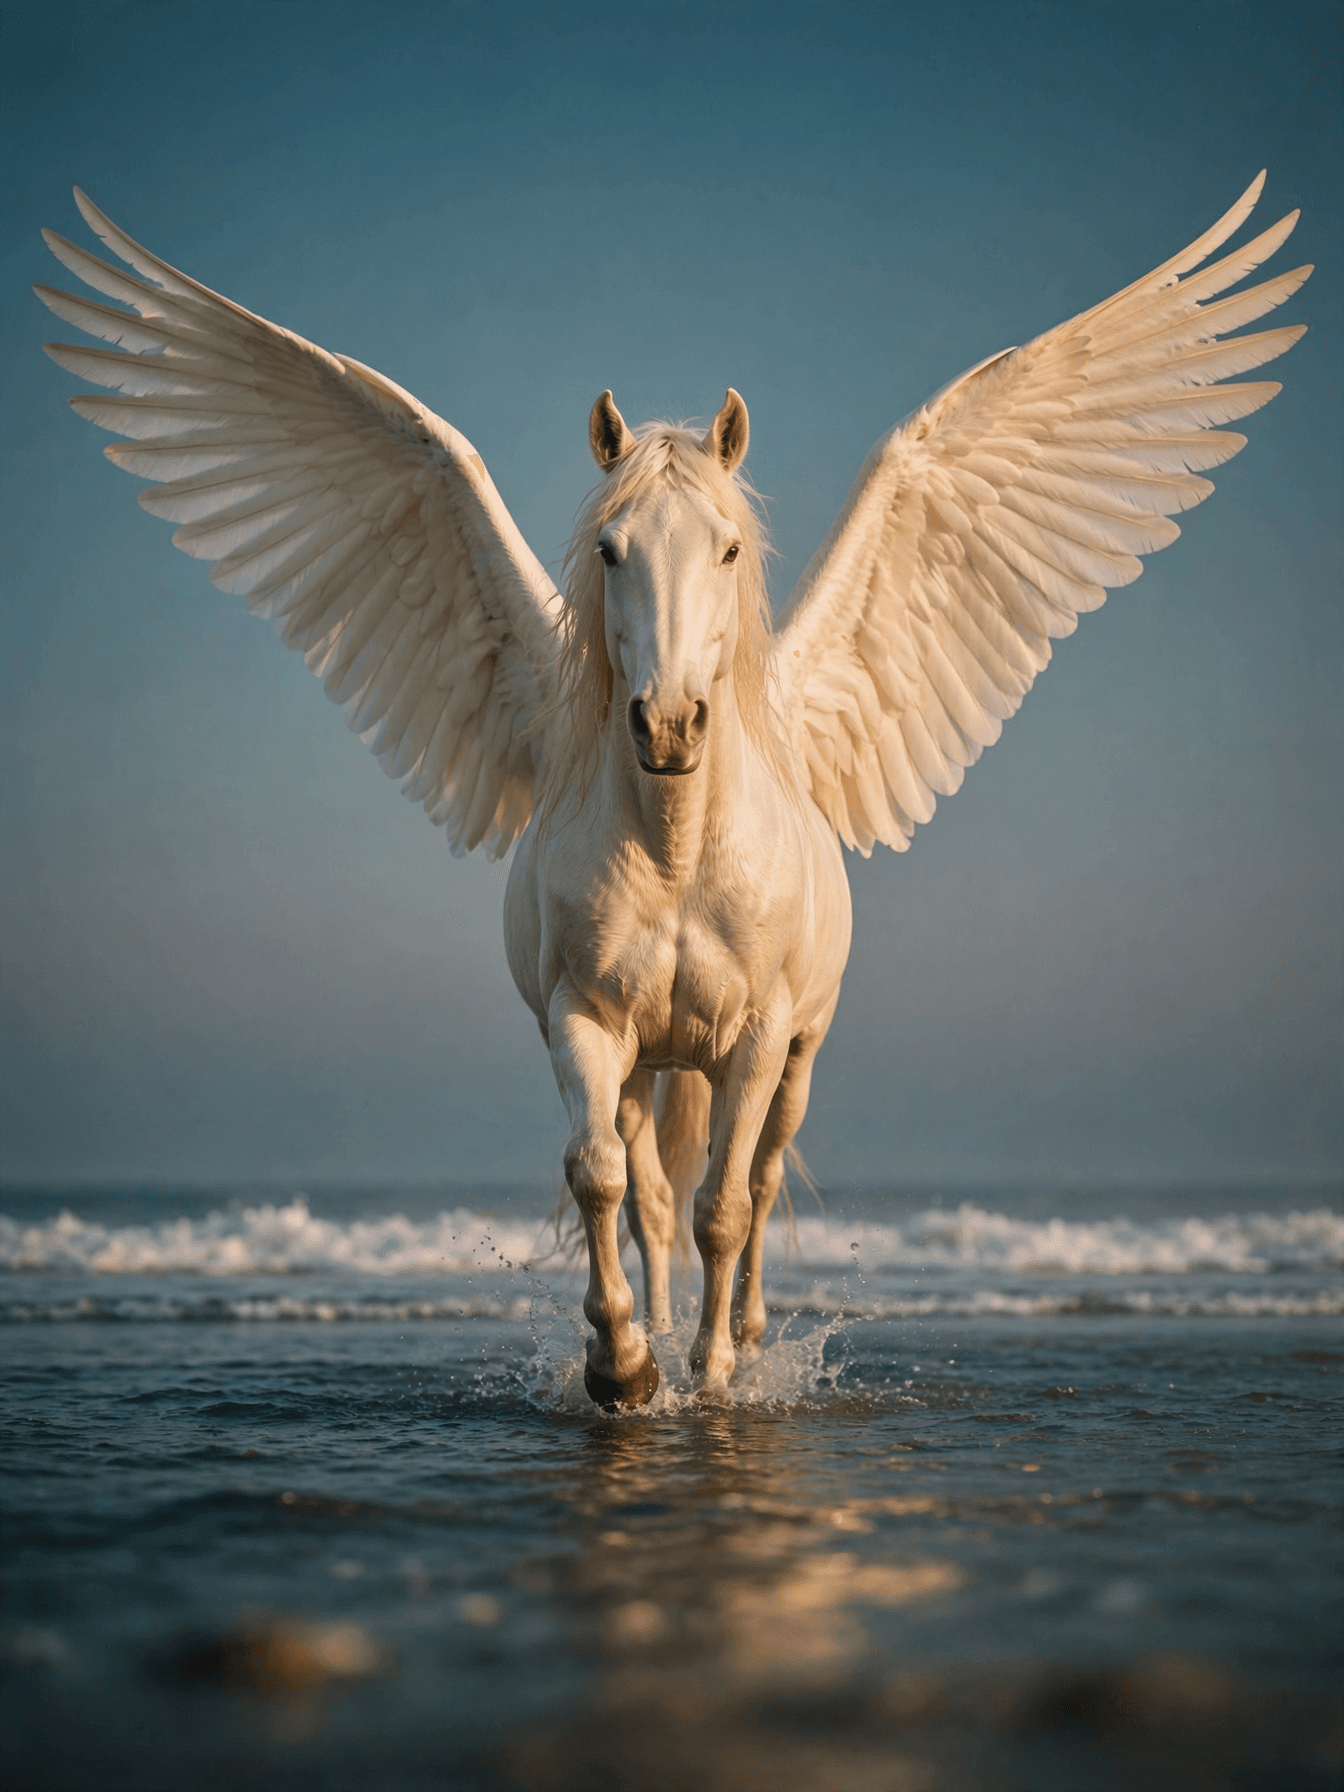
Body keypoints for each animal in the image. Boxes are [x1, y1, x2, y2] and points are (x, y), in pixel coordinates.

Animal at [38, 175, 1308, 1404]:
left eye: (731, 550)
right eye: (610, 552)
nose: (668, 725)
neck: (680, 845)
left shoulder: (758, 1036)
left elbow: (729, 1205)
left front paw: (714, 1370)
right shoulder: (586, 1022)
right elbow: (608, 1182)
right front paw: (625, 1364)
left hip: (796, 1051)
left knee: (764, 1175)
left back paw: (739, 1334)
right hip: (651, 1060)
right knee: (649, 1188)